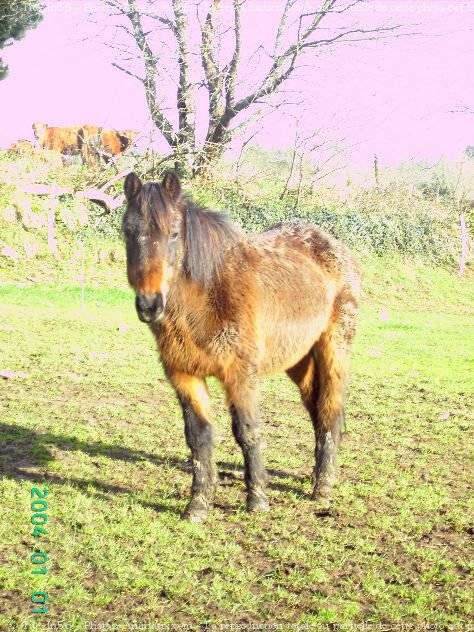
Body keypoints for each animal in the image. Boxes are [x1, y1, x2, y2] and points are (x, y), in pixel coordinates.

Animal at [123, 170, 362, 520]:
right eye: (128, 232)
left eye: (174, 233)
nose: (149, 304)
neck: (209, 296)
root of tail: (334, 246)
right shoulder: (183, 375)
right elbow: (199, 437)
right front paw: (198, 505)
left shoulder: (240, 374)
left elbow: (248, 431)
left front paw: (258, 500)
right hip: (298, 360)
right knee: (316, 409)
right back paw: (315, 475)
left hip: (334, 349)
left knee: (331, 409)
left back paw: (323, 488)